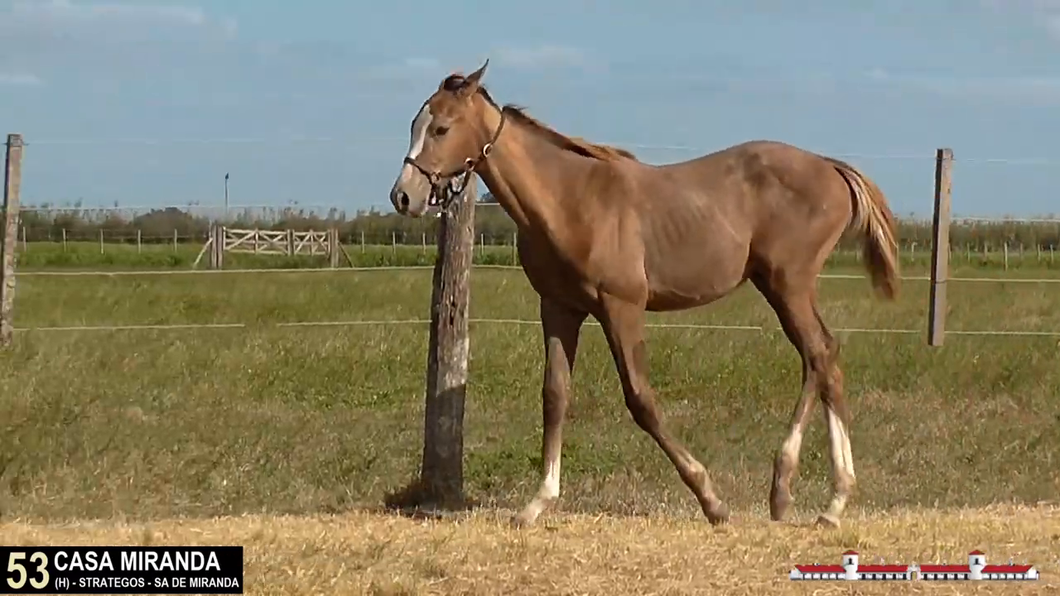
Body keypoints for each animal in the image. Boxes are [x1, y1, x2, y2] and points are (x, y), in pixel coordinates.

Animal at [385, 59, 898, 523]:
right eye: (414, 124)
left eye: (442, 128)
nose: (403, 196)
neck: (570, 199)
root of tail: (831, 168)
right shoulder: (559, 308)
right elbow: (555, 395)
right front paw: (537, 503)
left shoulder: (621, 306)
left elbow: (641, 400)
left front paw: (711, 500)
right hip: (786, 287)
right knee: (826, 358)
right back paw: (832, 500)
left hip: (786, 283)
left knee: (817, 354)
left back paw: (788, 489)